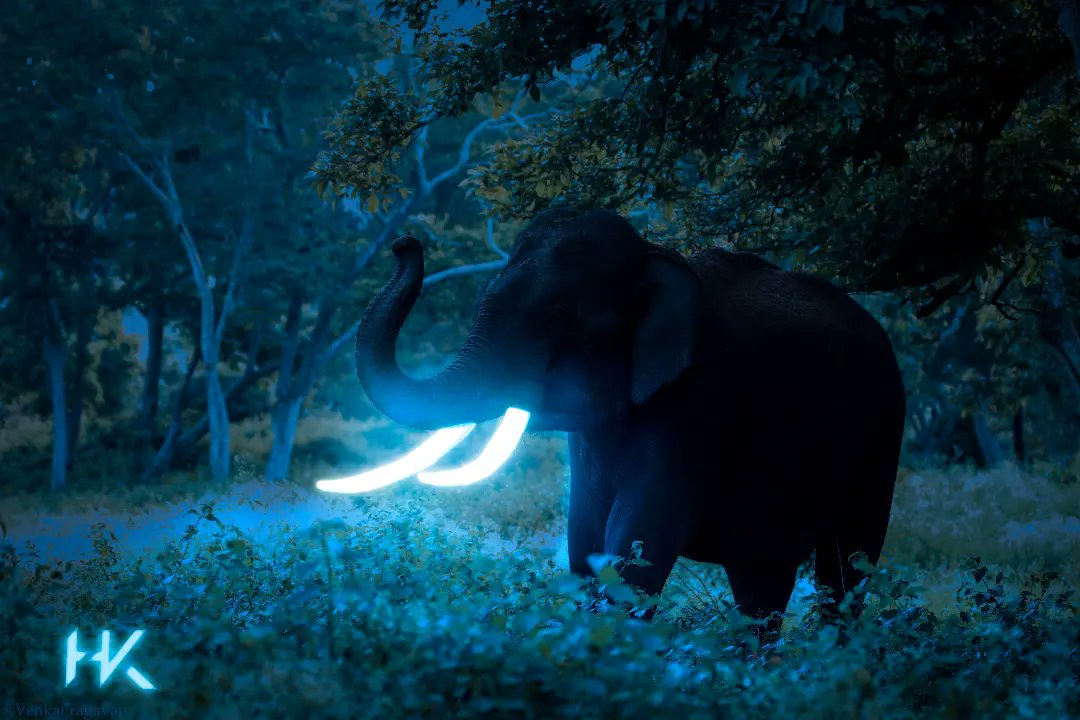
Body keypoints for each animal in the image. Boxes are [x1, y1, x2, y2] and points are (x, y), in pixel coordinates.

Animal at [354, 206, 906, 632]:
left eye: (558, 316)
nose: (404, 242)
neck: (650, 254)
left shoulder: (699, 406)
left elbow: (638, 551)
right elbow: (585, 543)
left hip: (884, 426)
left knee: (847, 566)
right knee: (761, 583)